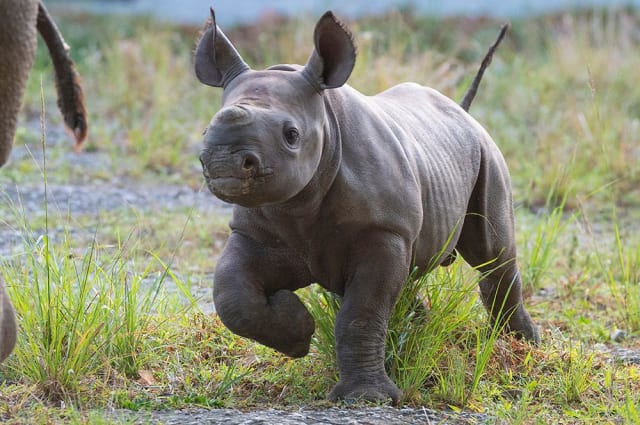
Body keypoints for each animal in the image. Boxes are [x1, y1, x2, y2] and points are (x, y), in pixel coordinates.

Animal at [195, 9, 539, 403]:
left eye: (291, 135)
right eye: (205, 131)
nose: (224, 161)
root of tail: (463, 112)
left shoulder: (384, 231)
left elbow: (362, 312)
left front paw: (366, 398)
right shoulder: (255, 230)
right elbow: (231, 295)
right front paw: (298, 331)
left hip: (487, 153)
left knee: (493, 256)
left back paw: (523, 347)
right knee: (411, 275)